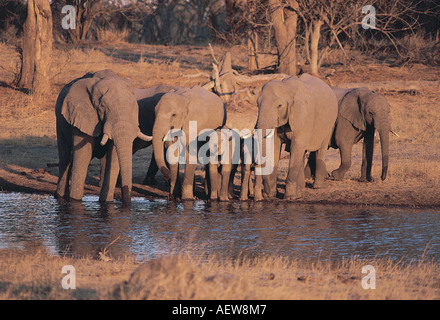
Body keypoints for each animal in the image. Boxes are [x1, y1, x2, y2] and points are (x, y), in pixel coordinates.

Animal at [55, 69, 152, 206]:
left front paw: (106, 203)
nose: (126, 202)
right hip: (60, 120)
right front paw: (75, 201)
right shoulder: (82, 116)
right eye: (102, 107)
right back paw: (60, 196)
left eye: (134, 105)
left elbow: (114, 157)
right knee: (66, 158)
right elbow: (83, 156)